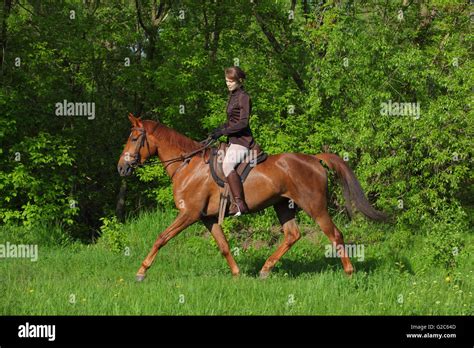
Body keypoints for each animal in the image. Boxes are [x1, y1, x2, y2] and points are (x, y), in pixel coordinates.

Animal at [117, 113, 386, 282]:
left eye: (134, 138)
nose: (121, 167)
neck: (188, 165)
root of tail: (314, 158)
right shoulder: (207, 218)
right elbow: (224, 246)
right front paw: (237, 274)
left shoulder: (189, 214)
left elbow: (161, 238)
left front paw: (141, 271)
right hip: (283, 205)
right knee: (292, 235)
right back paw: (265, 269)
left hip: (315, 207)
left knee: (335, 235)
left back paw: (349, 272)